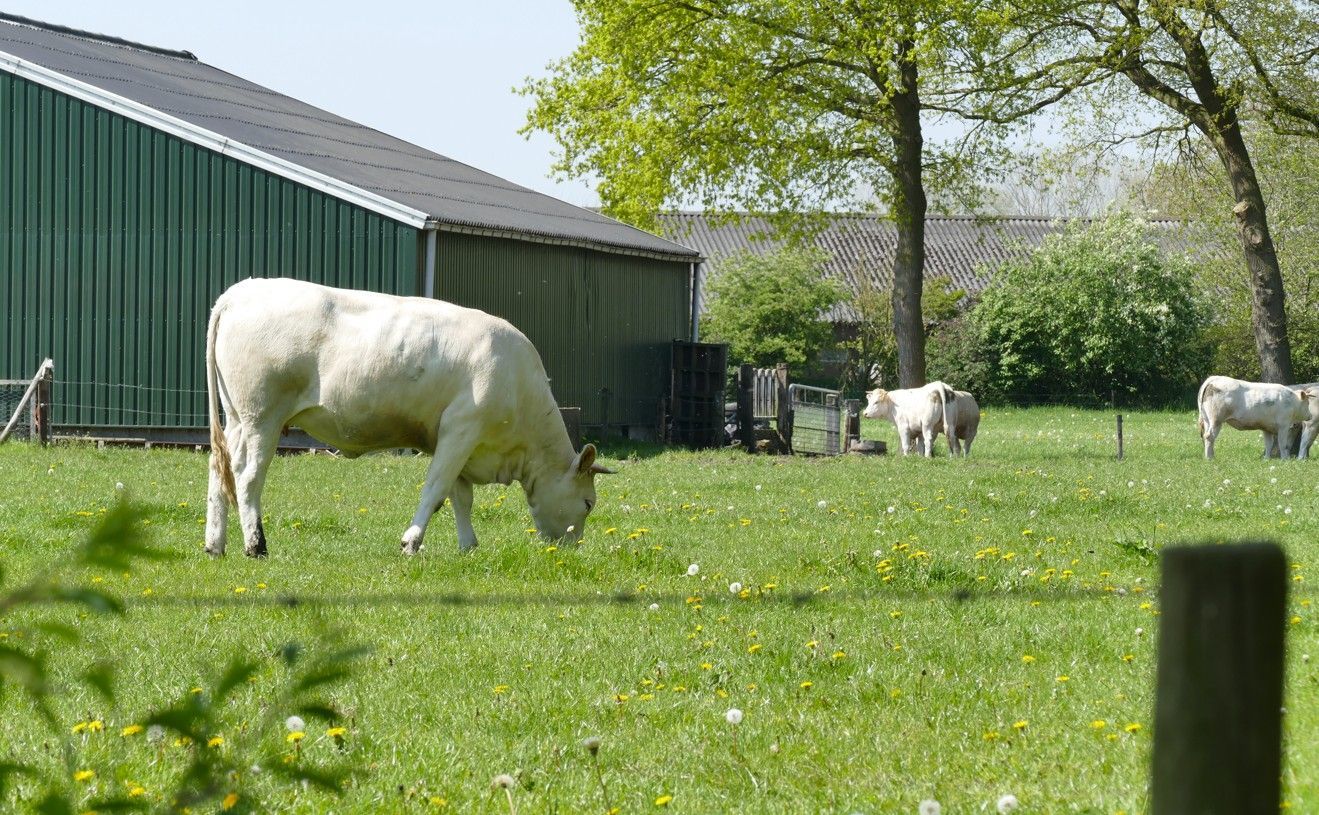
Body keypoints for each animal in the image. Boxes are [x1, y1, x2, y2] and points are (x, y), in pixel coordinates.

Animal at [204, 278, 611, 558]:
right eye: (588, 503)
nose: (571, 550)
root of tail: (241, 290)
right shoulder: (462, 429)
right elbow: (435, 491)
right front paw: (411, 542)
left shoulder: (455, 440)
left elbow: (460, 497)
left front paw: (468, 546)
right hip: (262, 417)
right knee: (248, 477)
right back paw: (255, 545)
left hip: (236, 418)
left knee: (220, 472)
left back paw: (215, 544)